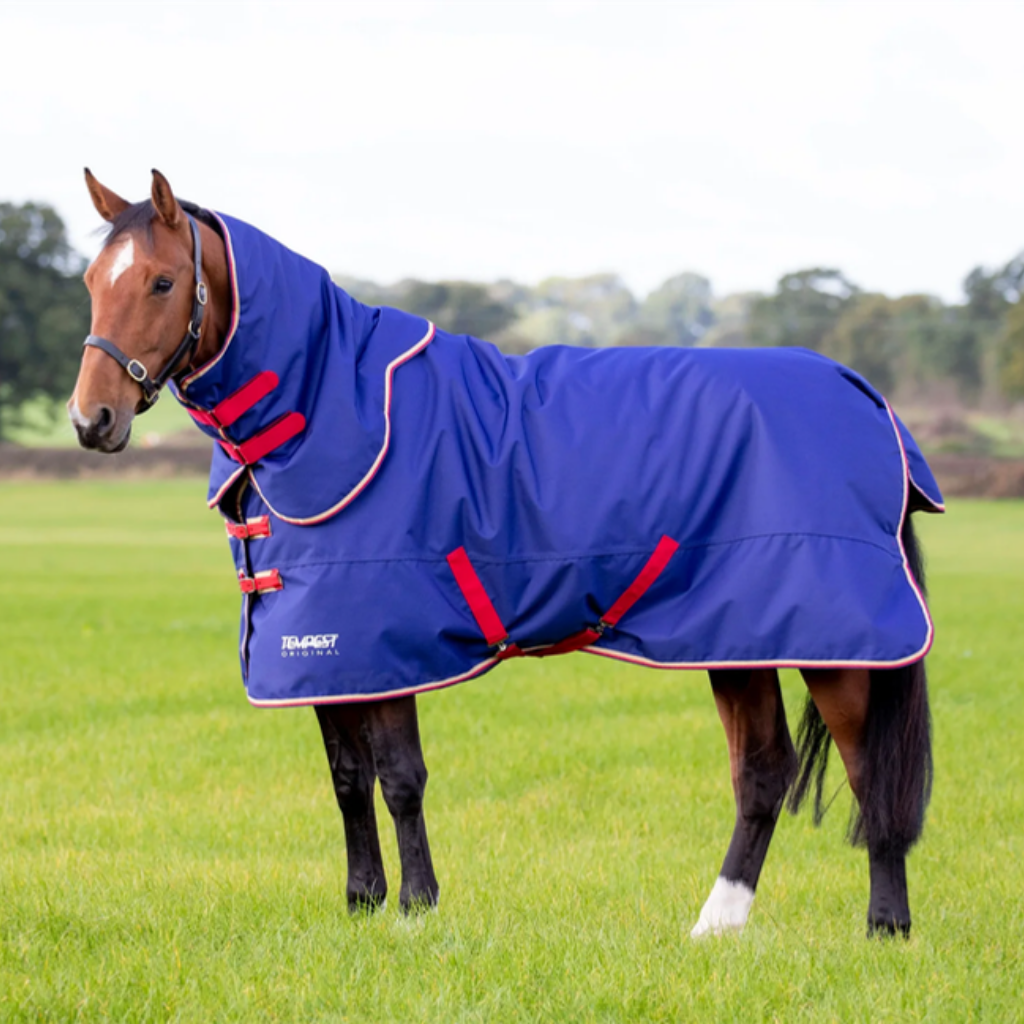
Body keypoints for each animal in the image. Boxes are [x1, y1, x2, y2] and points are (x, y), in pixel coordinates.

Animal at [69, 169, 940, 938]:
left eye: (160, 282)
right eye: (90, 281)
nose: (90, 419)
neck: (328, 407)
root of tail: (865, 397)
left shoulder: (386, 643)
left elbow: (399, 779)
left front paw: (417, 909)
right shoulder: (323, 651)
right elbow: (348, 780)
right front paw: (362, 903)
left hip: (836, 645)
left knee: (869, 773)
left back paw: (886, 924)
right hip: (739, 639)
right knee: (763, 772)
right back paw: (715, 925)